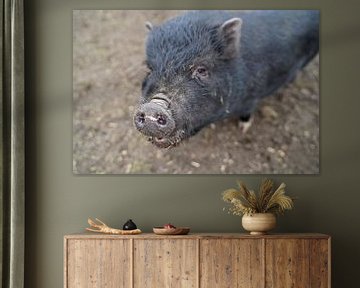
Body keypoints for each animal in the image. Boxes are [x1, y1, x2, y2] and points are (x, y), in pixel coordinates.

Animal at [134, 10, 318, 147]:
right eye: (149, 69)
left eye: (201, 70)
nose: (152, 107)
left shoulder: (251, 98)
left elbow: (247, 113)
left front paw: (243, 128)